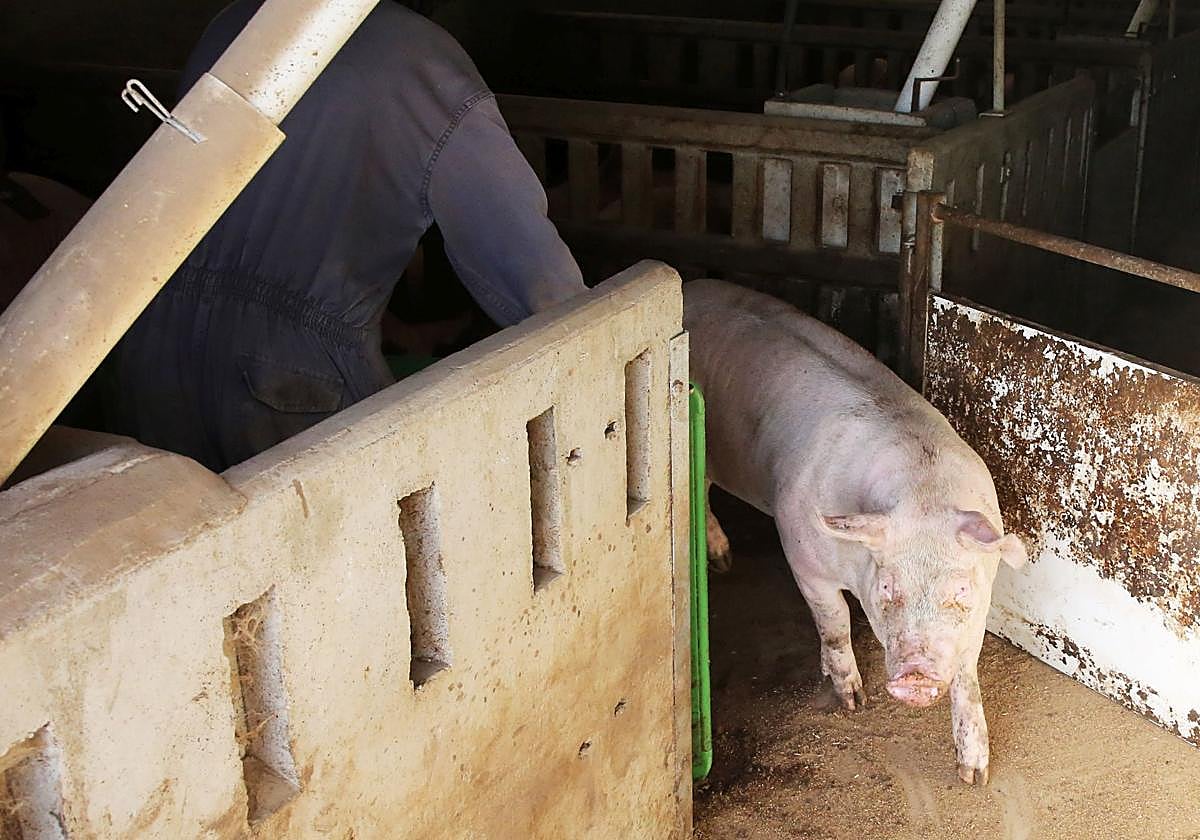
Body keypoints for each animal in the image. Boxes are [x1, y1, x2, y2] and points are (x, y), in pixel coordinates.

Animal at [684, 278, 1028, 785]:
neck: (923, 492)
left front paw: (975, 775)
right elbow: (834, 623)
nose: (916, 676)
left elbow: (968, 679)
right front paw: (852, 699)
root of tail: (688, 287)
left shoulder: (978, 611)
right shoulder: (803, 558)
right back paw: (723, 562)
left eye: (961, 590)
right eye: (886, 587)